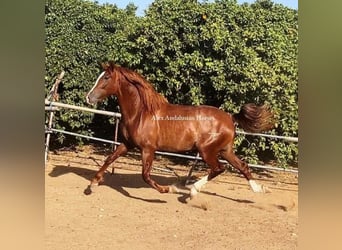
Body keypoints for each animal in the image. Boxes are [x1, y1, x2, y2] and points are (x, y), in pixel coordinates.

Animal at [86, 62, 276, 197]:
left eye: (106, 77)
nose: (88, 97)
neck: (140, 113)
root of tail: (230, 117)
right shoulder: (127, 144)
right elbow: (109, 159)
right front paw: (92, 184)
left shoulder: (148, 149)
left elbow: (145, 175)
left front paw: (169, 189)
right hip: (225, 150)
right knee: (242, 166)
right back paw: (259, 189)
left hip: (206, 150)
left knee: (219, 168)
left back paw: (192, 190)